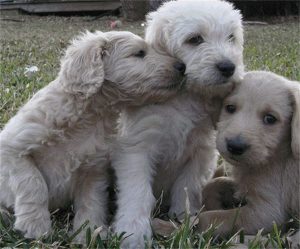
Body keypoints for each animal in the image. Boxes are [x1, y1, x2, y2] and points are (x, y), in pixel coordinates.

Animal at [0, 30, 185, 240]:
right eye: (139, 53)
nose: (182, 66)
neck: (89, 116)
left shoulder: (93, 170)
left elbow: (92, 202)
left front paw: (87, 232)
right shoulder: (12, 148)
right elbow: (33, 183)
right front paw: (35, 225)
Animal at [112, 0, 244, 247]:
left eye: (231, 37)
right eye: (195, 39)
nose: (228, 67)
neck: (184, 97)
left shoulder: (200, 151)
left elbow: (187, 187)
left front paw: (183, 218)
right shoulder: (137, 149)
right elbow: (138, 193)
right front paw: (133, 231)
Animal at [198, 71, 298, 236]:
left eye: (270, 118)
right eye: (230, 108)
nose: (235, 146)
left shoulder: (267, 213)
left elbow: (208, 219)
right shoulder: (243, 183)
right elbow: (214, 183)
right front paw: (214, 201)